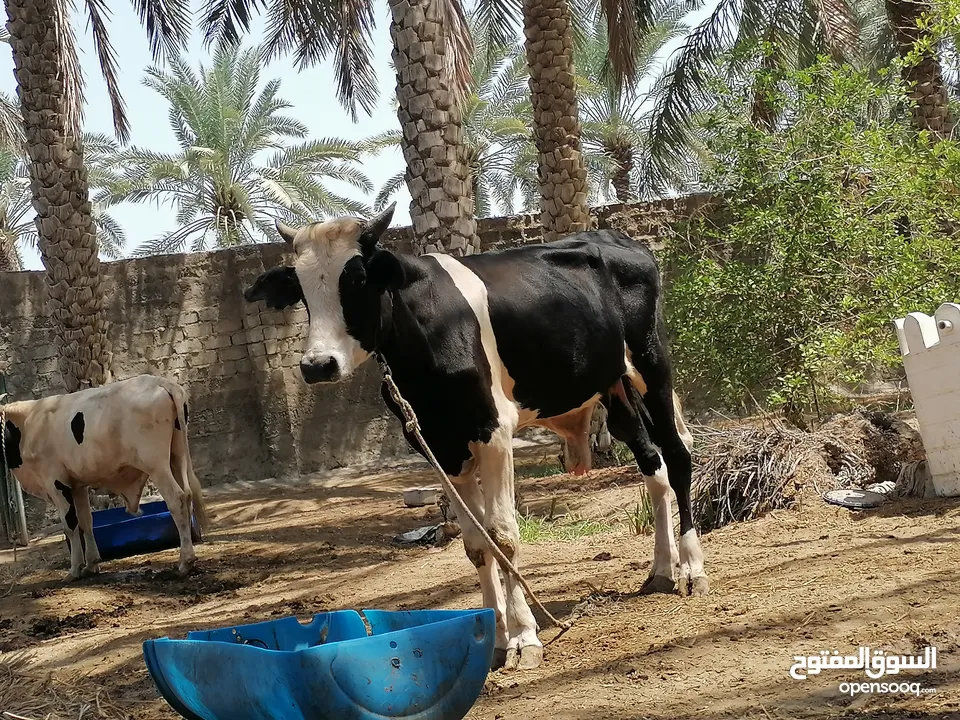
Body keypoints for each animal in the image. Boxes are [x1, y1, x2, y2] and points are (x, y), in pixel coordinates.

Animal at [246, 202, 712, 668]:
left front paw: (524, 637)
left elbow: (503, 535)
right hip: (613, 387)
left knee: (677, 452)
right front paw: (495, 638)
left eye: (357, 278)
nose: (317, 365)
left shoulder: (495, 432)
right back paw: (661, 570)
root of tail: (619, 239)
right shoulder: (440, 448)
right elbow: (475, 544)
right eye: (301, 289)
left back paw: (692, 569)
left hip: (651, 362)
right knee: (653, 465)